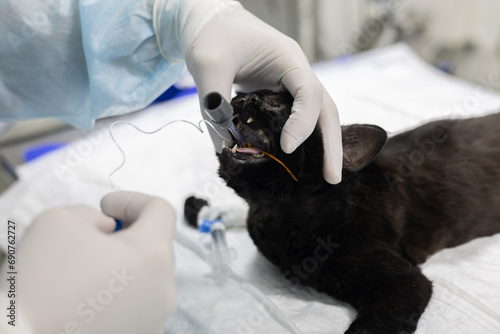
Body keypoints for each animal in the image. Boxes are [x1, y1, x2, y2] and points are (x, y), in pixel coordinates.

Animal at [213, 90, 500, 332]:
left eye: (279, 105)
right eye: (245, 94)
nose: (245, 97)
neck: (277, 215)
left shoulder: (405, 283)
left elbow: (366, 329)